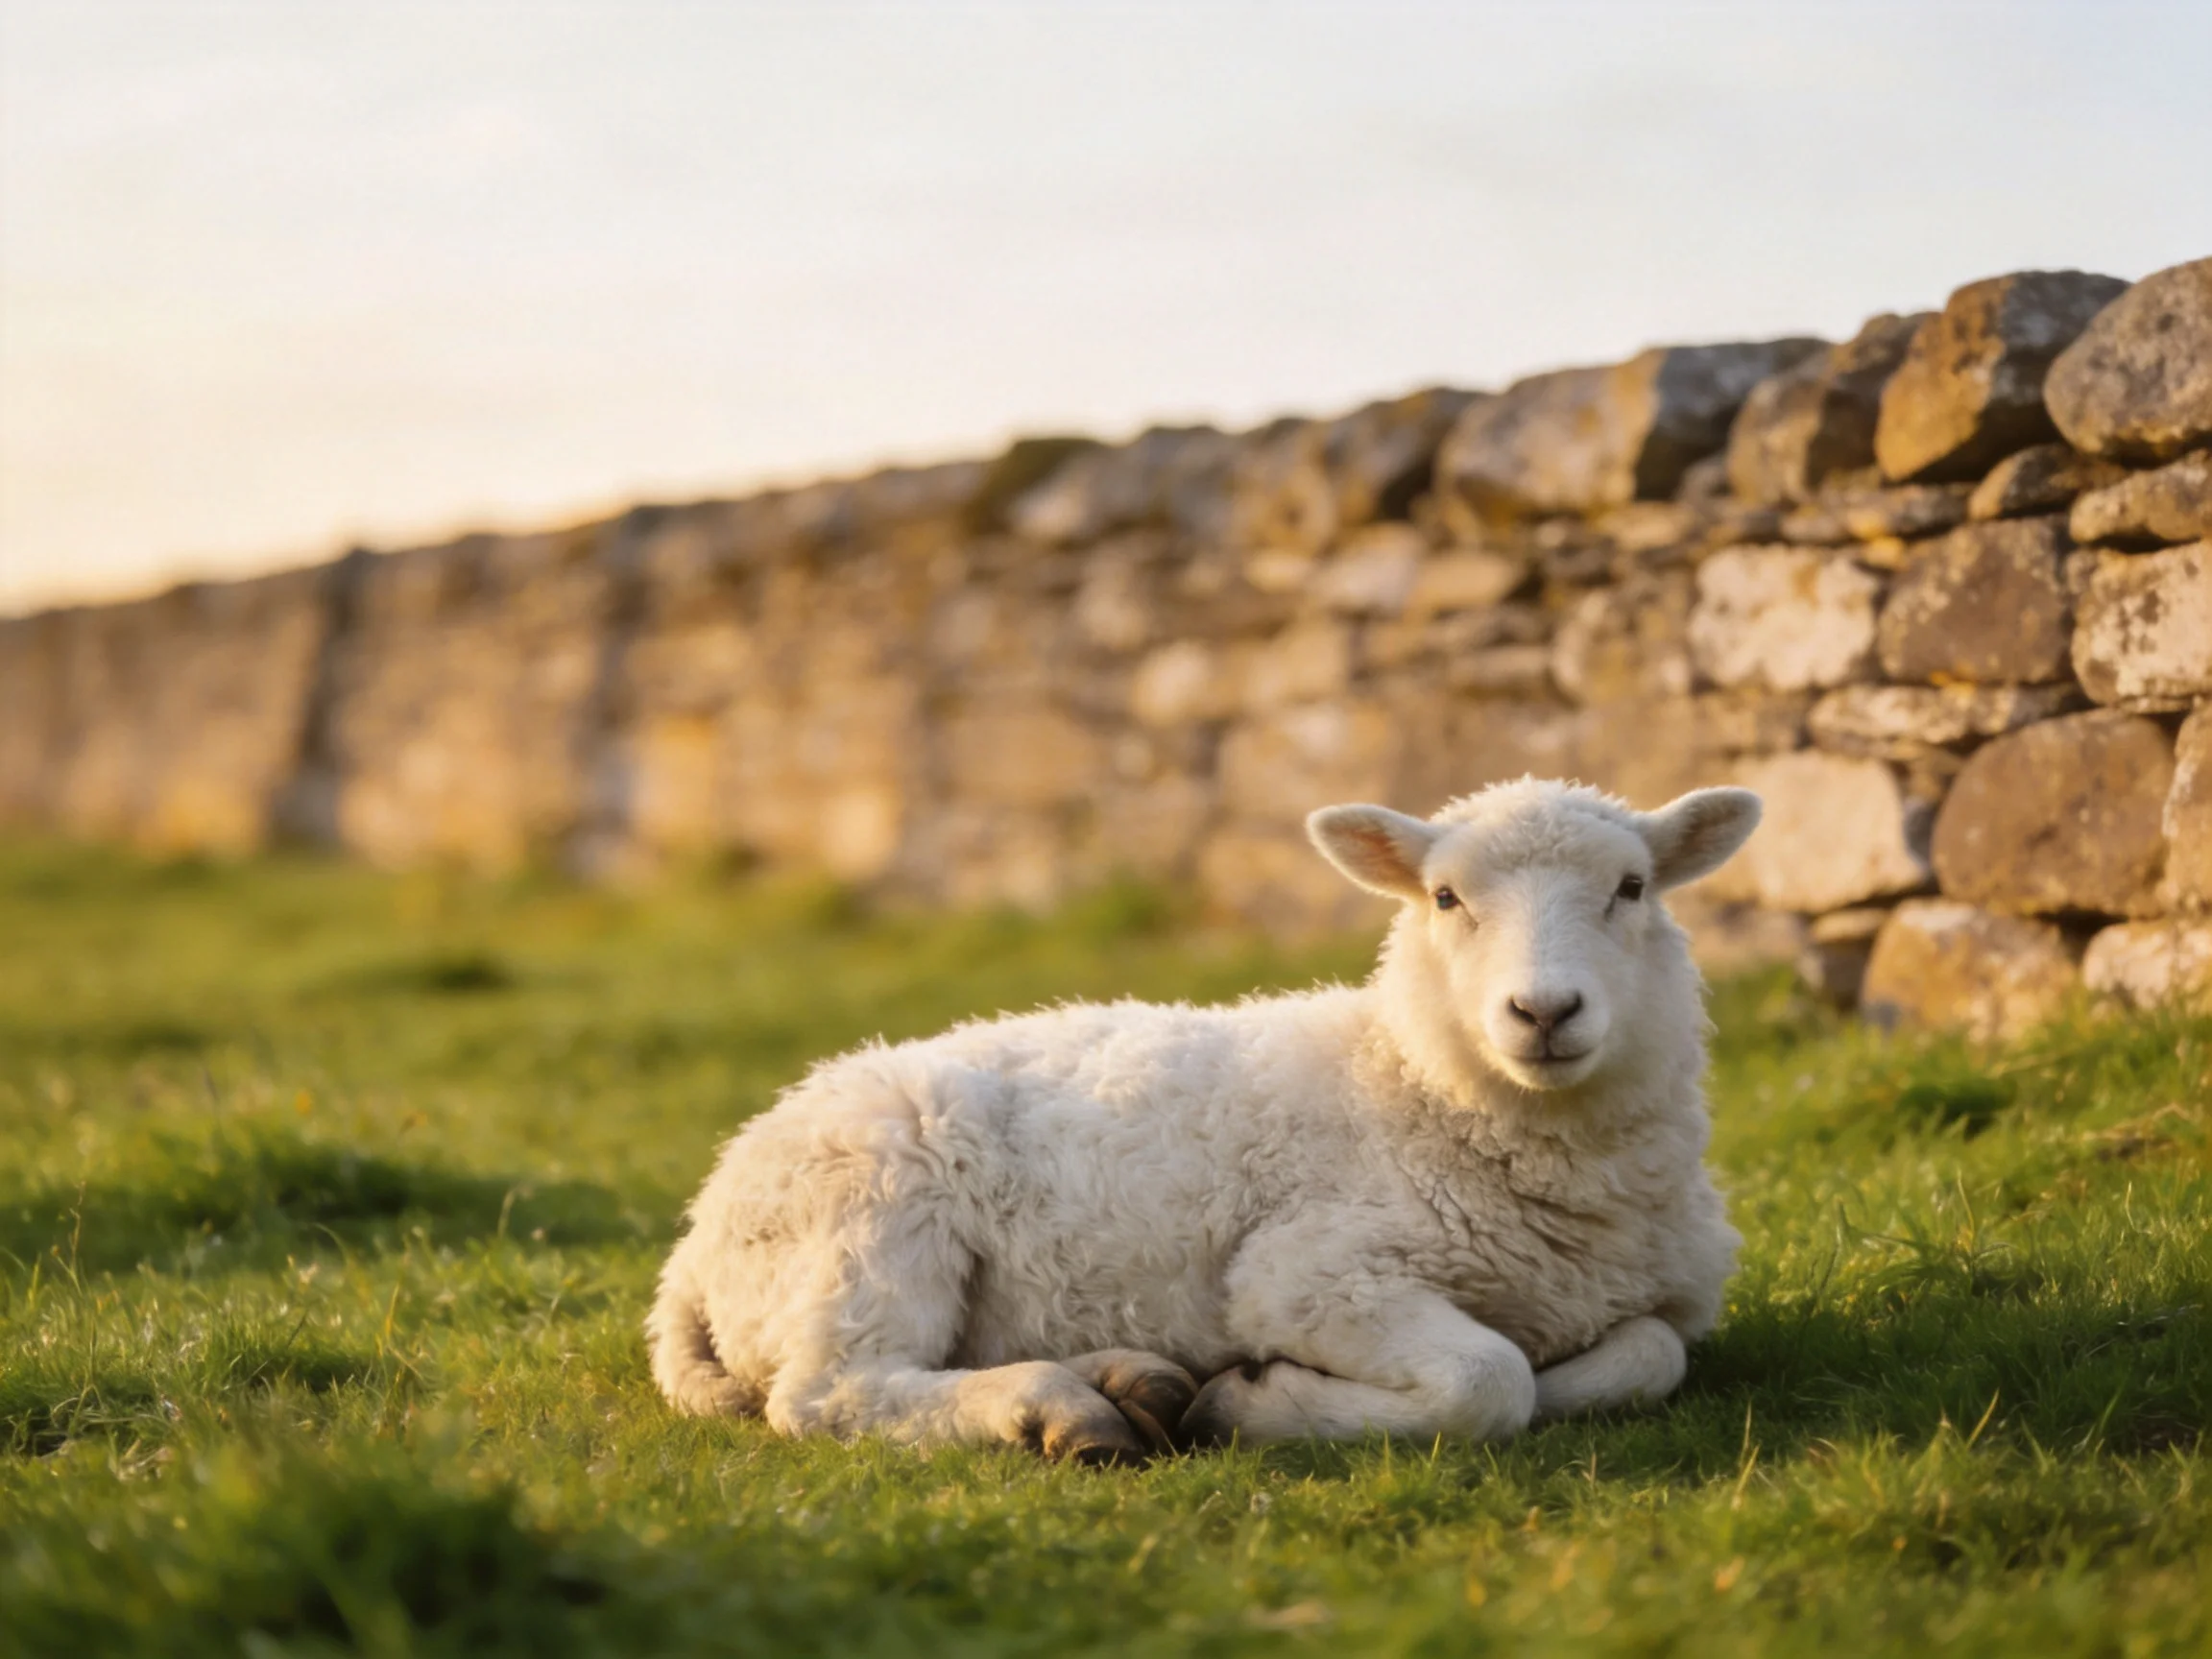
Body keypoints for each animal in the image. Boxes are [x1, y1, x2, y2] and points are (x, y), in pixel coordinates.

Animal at [648, 778, 1762, 1462]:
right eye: (1445, 898)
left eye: (1632, 887)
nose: (1543, 1012)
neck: (1410, 1088)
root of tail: (692, 1246)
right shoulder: (1310, 1275)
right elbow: (1490, 1382)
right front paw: (1257, 1401)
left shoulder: (1665, 1295)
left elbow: (1647, 1357)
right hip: (871, 1217)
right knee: (833, 1394)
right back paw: (1058, 1407)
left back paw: (1126, 1383)